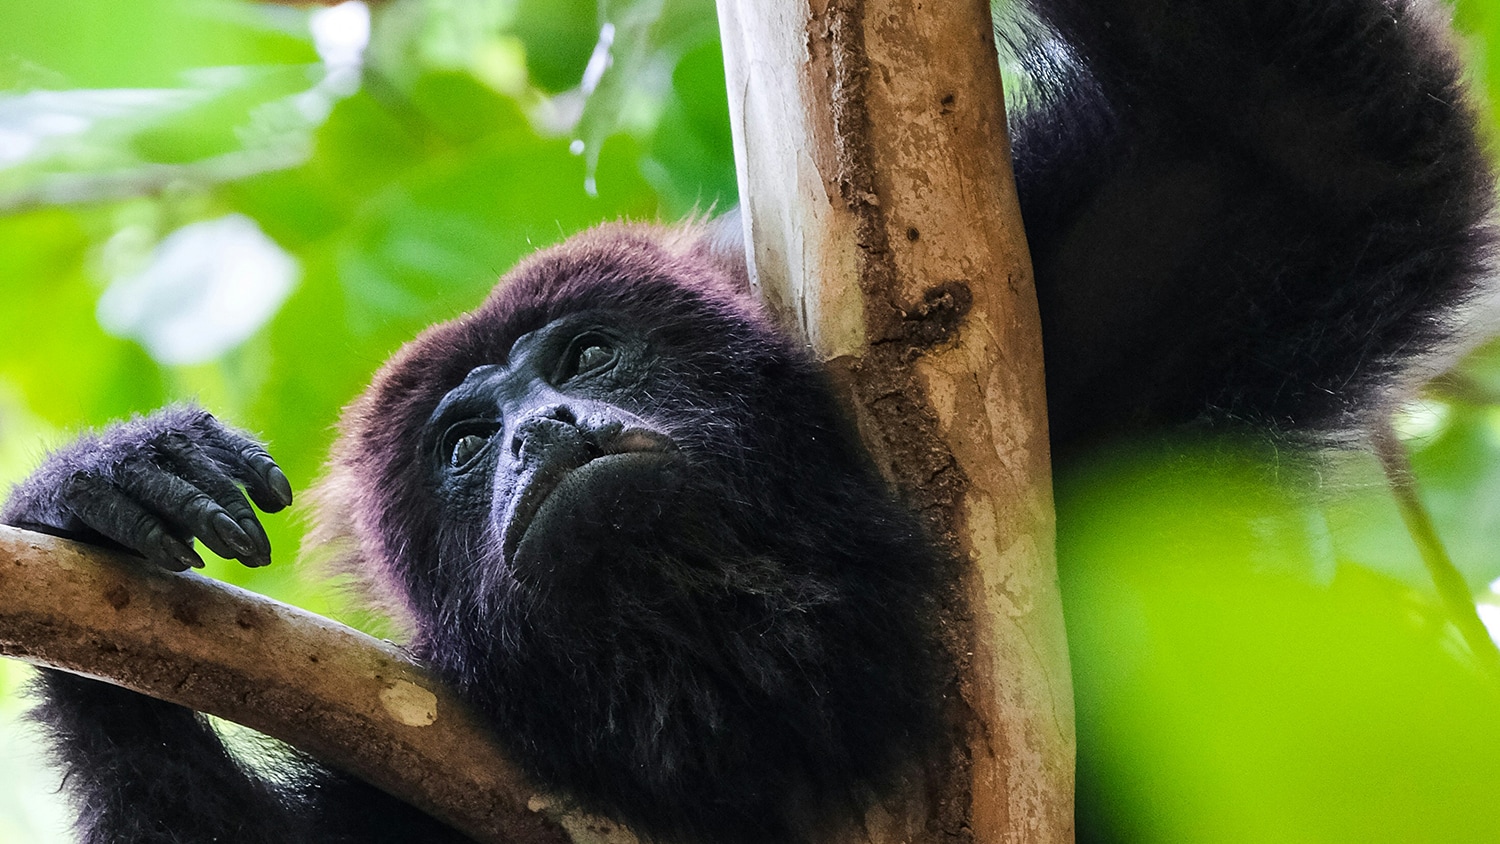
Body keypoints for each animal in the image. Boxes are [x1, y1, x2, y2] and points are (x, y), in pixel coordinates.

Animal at [2, 0, 1492, 842]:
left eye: (587, 350)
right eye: (464, 444)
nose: (543, 429)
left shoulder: (1112, 350)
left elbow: (1326, 153)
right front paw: (103, 496)